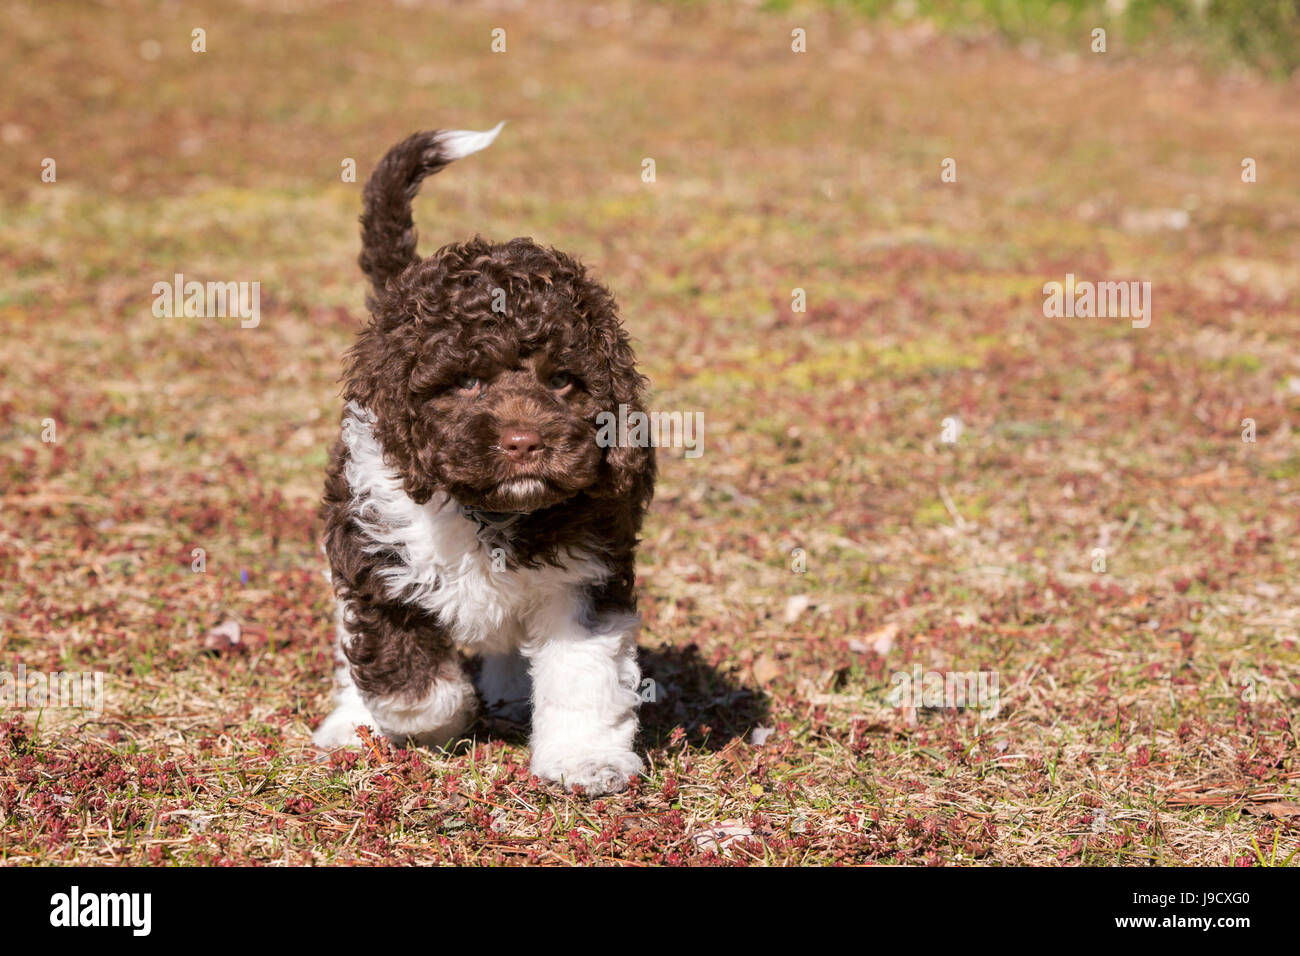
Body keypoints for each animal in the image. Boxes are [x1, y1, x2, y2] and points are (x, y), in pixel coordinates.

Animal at [312, 125, 660, 801]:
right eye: (467, 381)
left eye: (563, 380)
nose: (525, 442)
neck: (489, 511)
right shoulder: (373, 553)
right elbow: (409, 677)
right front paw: (435, 720)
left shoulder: (587, 574)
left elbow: (583, 674)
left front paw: (585, 762)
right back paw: (352, 725)